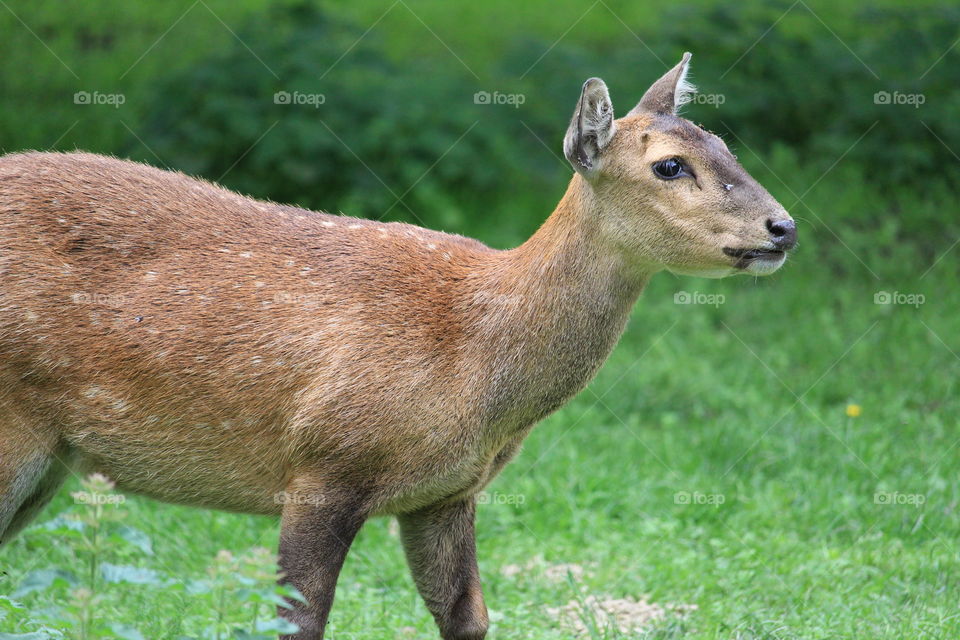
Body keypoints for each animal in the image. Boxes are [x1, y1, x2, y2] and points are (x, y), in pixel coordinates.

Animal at [0, 53, 795, 639]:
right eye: (669, 165)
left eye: (726, 145)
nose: (782, 227)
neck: (480, 360)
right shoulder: (324, 463)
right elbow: (296, 623)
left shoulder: (445, 493)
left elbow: (468, 618)